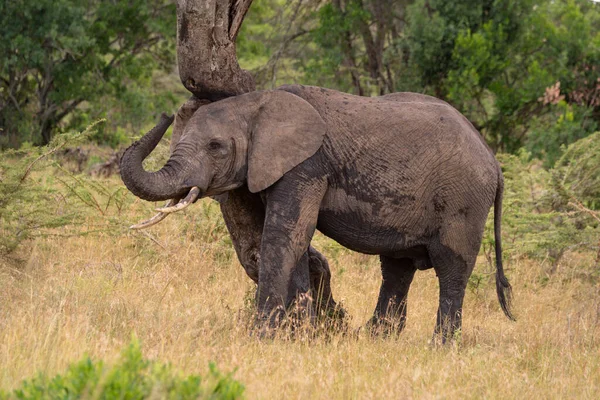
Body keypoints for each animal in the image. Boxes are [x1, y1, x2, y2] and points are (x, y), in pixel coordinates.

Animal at [119, 84, 512, 340]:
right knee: (397, 268)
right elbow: (295, 241)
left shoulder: (306, 165)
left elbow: (285, 236)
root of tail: (494, 162)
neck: (256, 103)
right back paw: (375, 338)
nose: (164, 114)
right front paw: (301, 332)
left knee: (452, 268)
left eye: (215, 147)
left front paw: (263, 336)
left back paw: (441, 346)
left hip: (463, 201)